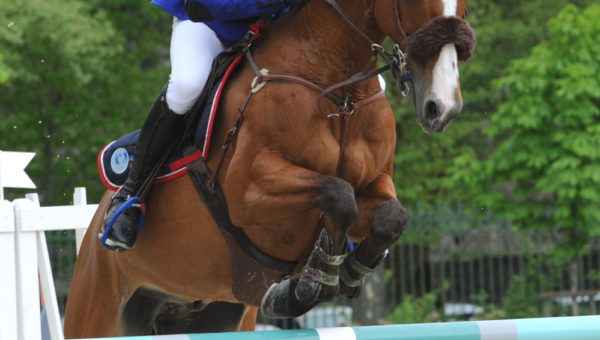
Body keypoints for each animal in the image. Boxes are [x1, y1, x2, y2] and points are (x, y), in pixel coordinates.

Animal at [64, 0, 474, 338]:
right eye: (415, 2)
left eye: (465, 7)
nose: (443, 108)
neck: (339, 93)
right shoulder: (249, 193)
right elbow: (337, 194)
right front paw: (305, 287)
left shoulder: (375, 183)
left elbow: (391, 216)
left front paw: (347, 272)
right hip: (97, 311)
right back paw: (123, 217)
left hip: (216, 313)